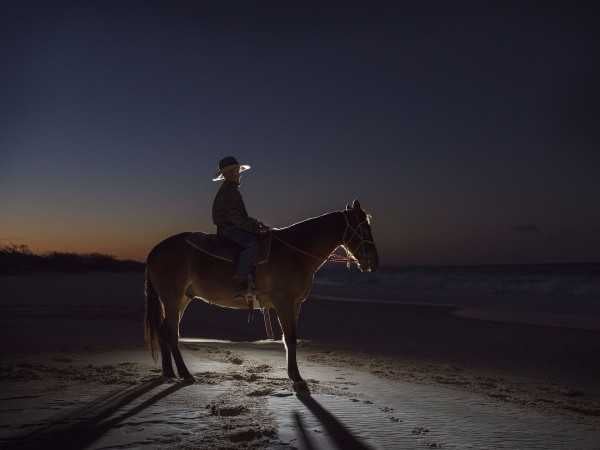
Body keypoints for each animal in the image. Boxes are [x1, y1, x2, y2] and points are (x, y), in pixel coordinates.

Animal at [143, 199, 378, 388]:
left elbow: (290, 338)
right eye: (364, 228)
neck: (295, 252)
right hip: (172, 299)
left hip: (181, 299)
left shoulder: (295, 305)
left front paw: (293, 374)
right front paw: (296, 378)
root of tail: (155, 251)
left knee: (165, 331)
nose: (374, 262)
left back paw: (169, 372)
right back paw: (184, 374)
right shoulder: (284, 303)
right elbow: (290, 338)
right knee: (171, 333)